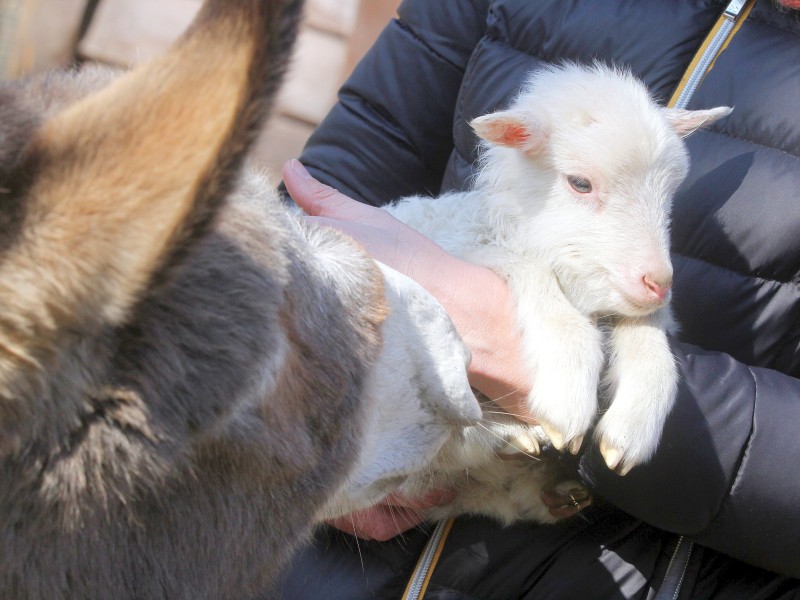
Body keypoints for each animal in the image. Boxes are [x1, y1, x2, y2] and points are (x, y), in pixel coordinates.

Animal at [388, 61, 732, 486]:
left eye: (669, 193)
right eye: (580, 183)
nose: (658, 283)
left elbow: (651, 342)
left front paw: (632, 428)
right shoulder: (466, 252)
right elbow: (540, 287)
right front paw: (566, 398)